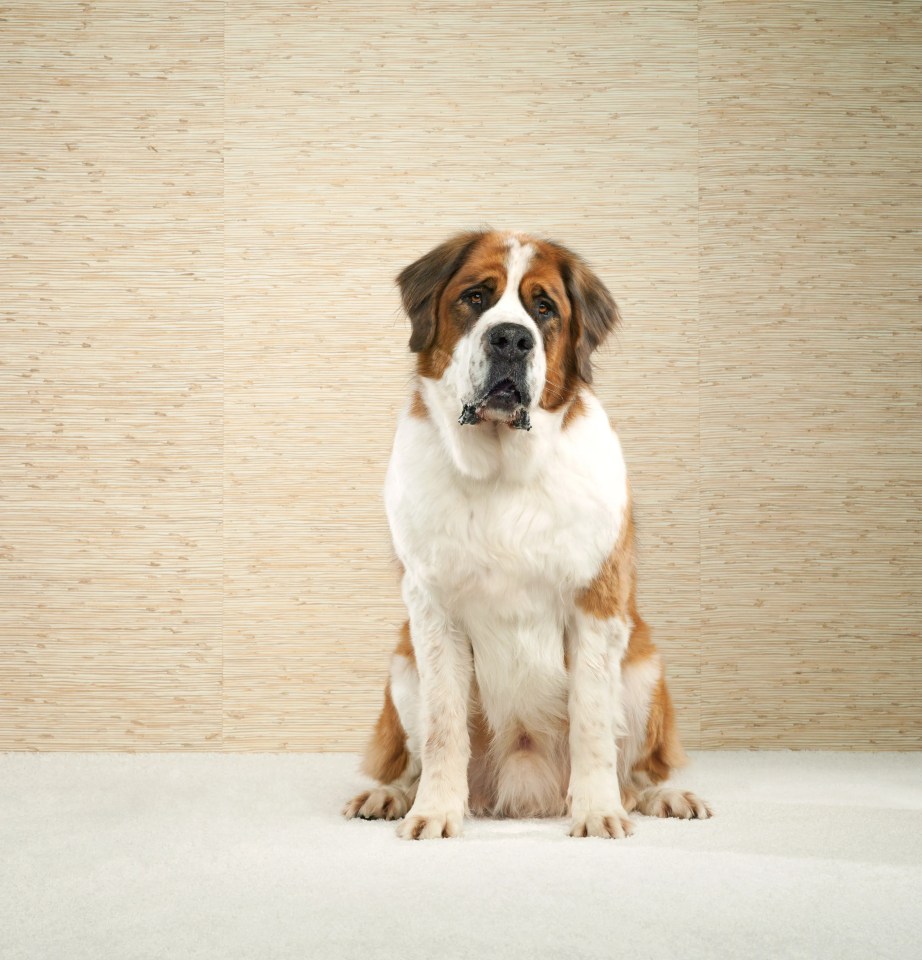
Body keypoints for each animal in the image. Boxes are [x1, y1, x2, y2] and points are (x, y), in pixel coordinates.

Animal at [342, 232, 708, 840]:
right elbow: (444, 728)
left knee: (640, 768)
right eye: (476, 297)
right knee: (411, 755)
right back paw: (390, 795)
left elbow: (592, 725)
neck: (503, 473)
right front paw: (434, 812)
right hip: (402, 666)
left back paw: (665, 795)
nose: (511, 338)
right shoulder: (433, 613)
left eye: (544, 308)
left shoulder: (596, 609)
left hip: (644, 667)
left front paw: (597, 812)